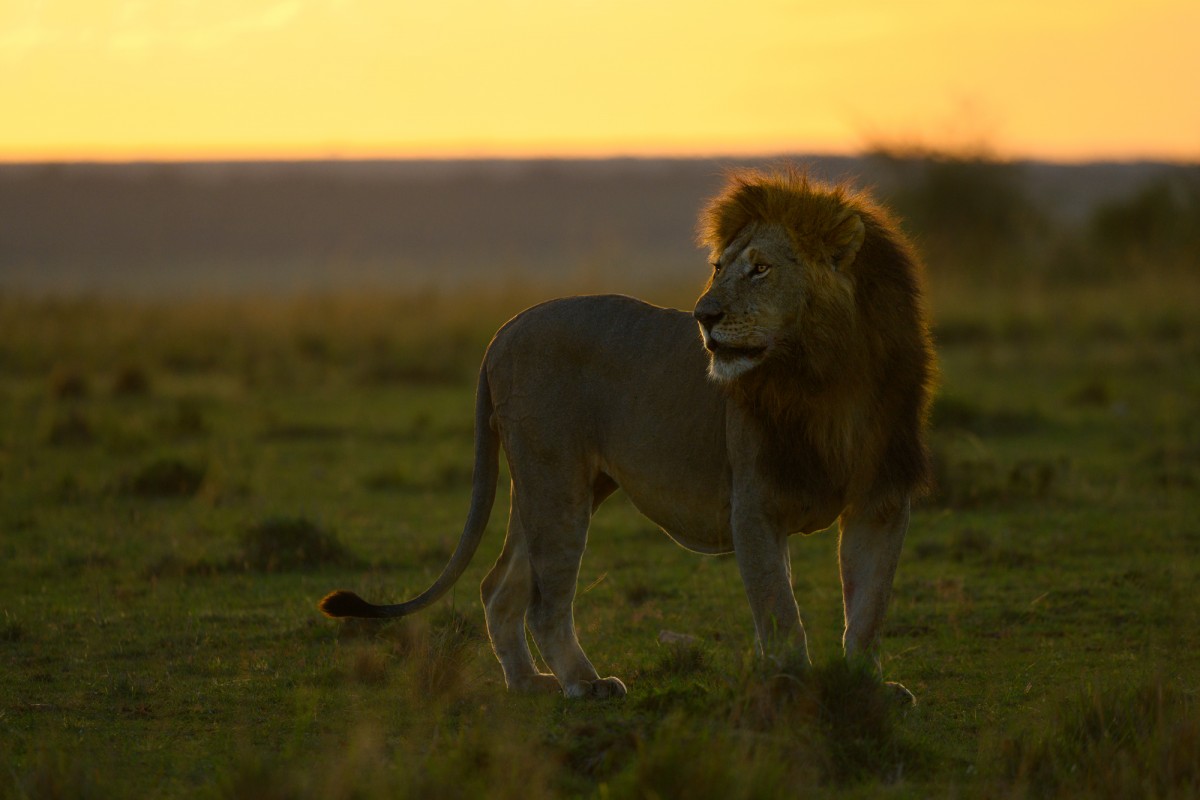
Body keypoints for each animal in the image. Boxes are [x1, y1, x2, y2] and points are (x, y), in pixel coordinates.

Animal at [321, 169, 936, 700]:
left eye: (760, 269)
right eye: (718, 267)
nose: (703, 316)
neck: (830, 379)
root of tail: (504, 329)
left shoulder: (881, 501)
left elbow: (868, 606)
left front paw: (867, 685)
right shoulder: (755, 502)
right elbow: (779, 609)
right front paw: (794, 686)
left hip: (557, 485)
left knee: (500, 586)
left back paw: (527, 683)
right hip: (556, 480)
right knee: (544, 602)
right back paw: (585, 684)